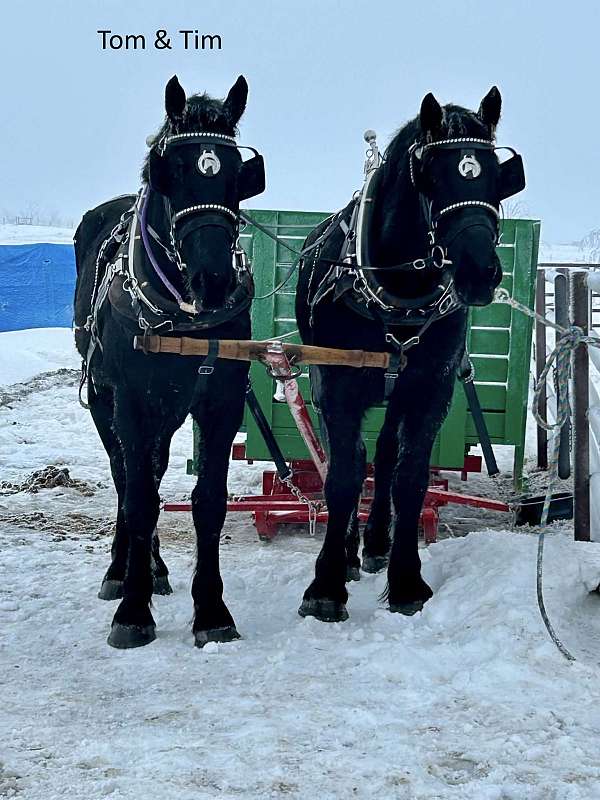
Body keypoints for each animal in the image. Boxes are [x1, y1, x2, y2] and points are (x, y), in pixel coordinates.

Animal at [73, 74, 265, 648]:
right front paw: (133, 611)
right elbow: (137, 497)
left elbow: (209, 501)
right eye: (173, 173)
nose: (213, 279)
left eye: (237, 175)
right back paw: (125, 571)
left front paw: (213, 611)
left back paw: (154, 570)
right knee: (127, 478)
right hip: (107, 403)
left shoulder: (219, 403)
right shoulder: (132, 404)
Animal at [295, 87, 526, 622]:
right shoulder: (335, 385)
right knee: (353, 459)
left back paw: (376, 543)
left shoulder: (429, 388)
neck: (398, 291)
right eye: (433, 175)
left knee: (383, 455)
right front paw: (326, 584)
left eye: (495, 174)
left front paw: (405, 580)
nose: (479, 271)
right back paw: (350, 553)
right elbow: (343, 475)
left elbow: (409, 477)